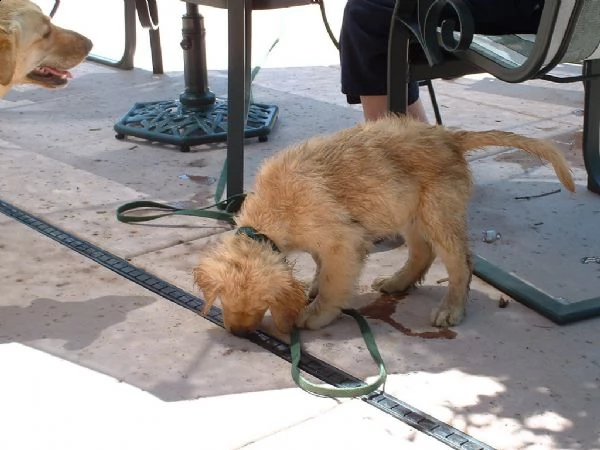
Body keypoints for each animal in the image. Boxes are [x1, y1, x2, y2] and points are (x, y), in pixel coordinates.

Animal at [195, 114, 576, 336]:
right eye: (224, 298)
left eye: (260, 303)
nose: (238, 333)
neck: (274, 211)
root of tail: (450, 137)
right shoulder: (328, 240)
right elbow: (320, 266)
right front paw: (313, 287)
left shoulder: (343, 241)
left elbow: (334, 282)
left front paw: (316, 313)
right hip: (407, 210)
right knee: (421, 251)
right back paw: (397, 282)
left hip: (437, 211)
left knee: (460, 262)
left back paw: (451, 309)